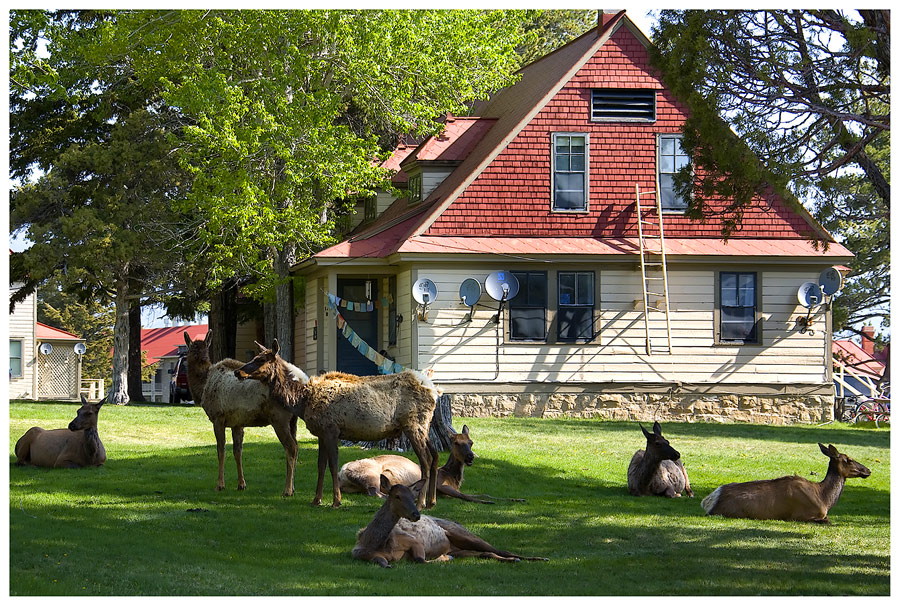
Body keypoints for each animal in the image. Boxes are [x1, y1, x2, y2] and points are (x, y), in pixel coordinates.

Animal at [184, 332, 310, 498]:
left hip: (279, 419)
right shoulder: (237, 423)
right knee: (296, 445)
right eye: (192, 349)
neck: (202, 385)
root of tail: (302, 380)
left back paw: (287, 490)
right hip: (293, 421)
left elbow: (221, 451)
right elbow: (237, 452)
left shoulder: (218, 418)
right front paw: (241, 484)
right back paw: (293, 487)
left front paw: (220, 485)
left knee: (291, 447)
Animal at [236, 340, 440, 510]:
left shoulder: (331, 430)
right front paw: (316, 500)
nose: (238, 371)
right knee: (435, 455)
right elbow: (320, 465)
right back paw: (431, 501)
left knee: (426, 460)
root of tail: (434, 391)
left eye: (261, 359)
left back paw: (421, 502)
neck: (301, 402)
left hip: (414, 425)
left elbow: (333, 466)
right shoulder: (321, 433)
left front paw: (336, 501)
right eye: (254, 357)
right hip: (424, 427)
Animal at [338, 426, 524, 506]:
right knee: (375, 492)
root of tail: (342, 473)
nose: (470, 457)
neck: (453, 477)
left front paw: (518, 498)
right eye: (456, 443)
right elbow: (468, 496)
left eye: (471, 442)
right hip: (371, 475)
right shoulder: (442, 486)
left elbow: (483, 493)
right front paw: (489, 502)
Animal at [352, 476, 548, 568]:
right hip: (459, 547)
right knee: (485, 554)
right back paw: (516, 560)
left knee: (499, 549)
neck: (375, 543)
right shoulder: (360, 555)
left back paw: (537, 558)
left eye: (414, 496)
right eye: (397, 496)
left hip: (461, 532)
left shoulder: (414, 541)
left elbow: (420, 560)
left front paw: (443, 558)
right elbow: (384, 563)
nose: (417, 514)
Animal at [704, 444, 872, 524]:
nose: (868, 470)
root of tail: (709, 502)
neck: (824, 499)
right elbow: (827, 520)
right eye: (849, 459)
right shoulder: (800, 515)